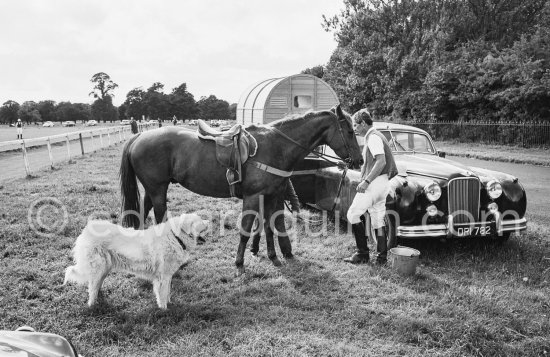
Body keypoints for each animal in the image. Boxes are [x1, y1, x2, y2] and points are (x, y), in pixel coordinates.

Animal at [64, 213, 209, 308]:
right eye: (200, 221)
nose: (209, 221)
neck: (175, 237)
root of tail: (86, 230)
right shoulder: (163, 276)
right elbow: (162, 294)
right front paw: (165, 310)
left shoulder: (167, 276)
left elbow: (167, 292)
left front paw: (169, 304)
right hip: (98, 267)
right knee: (92, 288)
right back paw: (93, 306)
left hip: (104, 268)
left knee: (97, 284)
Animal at [119, 104, 362, 274]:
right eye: (350, 131)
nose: (359, 160)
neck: (276, 146)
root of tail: (139, 136)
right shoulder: (253, 196)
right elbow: (246, 229)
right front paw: (239, 262)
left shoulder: (271, 196)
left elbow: (269, 227)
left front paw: (273, 256)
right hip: (158, 189)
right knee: (159, 217)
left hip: (152, 189)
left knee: (142, 213)